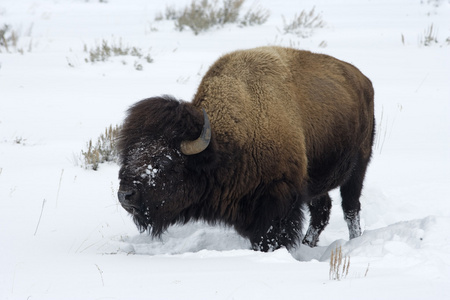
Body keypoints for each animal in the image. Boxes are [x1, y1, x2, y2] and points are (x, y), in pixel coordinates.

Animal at [118, 45, 374, 251]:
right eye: (128, 155)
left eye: (163, 160)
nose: (125, 195)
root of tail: (363, 80)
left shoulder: (277, 201)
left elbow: (270, 236)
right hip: (316, 181)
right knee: (323, 210)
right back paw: (308, 244)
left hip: (358, 168)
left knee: (350, 208)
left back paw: (354, 242)